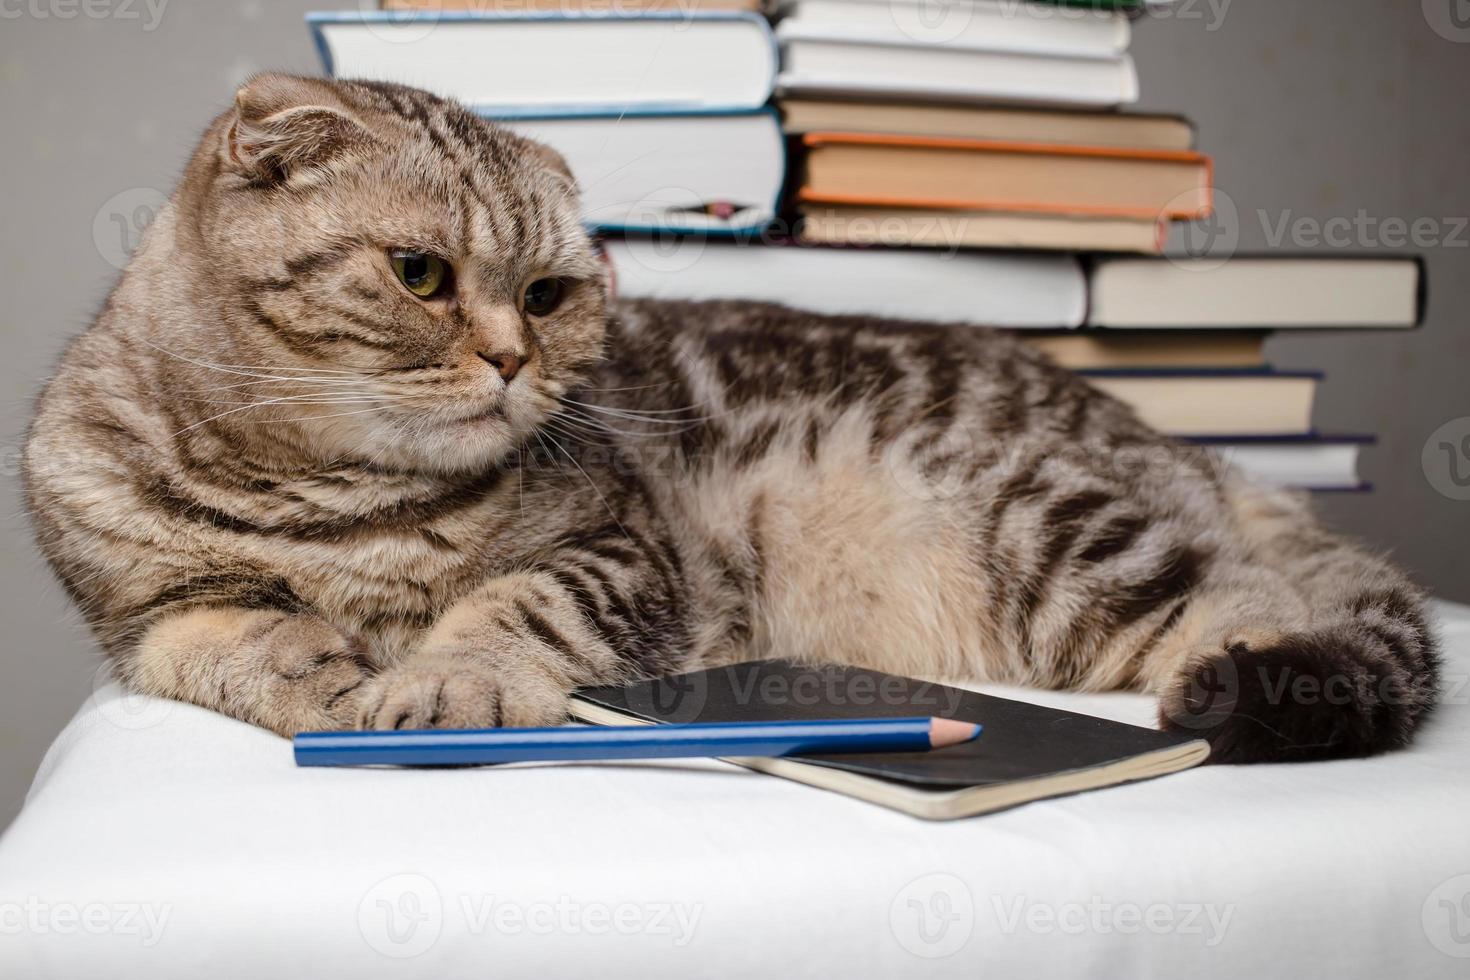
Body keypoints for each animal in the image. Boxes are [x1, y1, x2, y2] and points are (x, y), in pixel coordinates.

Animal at [20, 78, 1434, 764]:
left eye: (548, 293)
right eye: (420, 274)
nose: (512, 356)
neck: (327, 504)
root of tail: (1178, 444)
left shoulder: (622, 543)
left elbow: (516, 603)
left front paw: (439, 677)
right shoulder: (131, 606)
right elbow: (209, 637)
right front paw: (311, 663)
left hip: (1062, 540)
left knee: (1265, 602)